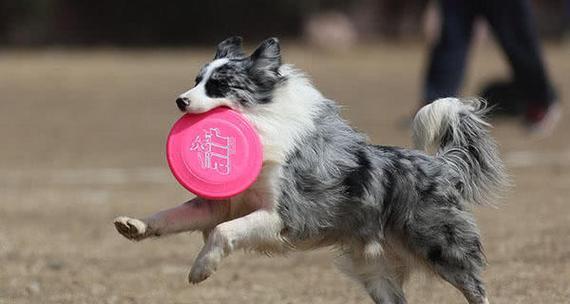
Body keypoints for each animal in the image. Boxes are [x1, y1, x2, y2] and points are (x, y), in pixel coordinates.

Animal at [113, 36, 504, 302]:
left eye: (218, 85)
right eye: (196, 80)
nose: (180, 101)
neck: (262, 122)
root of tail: (440, 165)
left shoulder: (282, 216)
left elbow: (223, 232)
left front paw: (201, 269)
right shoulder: (221, 203)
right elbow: (172, 216)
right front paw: (134, 225)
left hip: (441, 247)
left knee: (477, 289)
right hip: (375, 271)